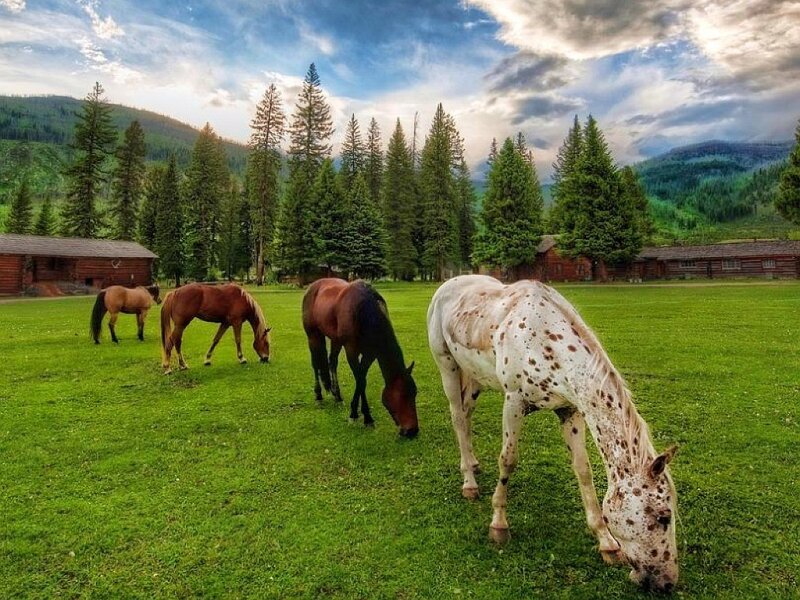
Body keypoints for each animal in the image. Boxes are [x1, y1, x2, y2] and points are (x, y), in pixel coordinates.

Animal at [302, 278, 419, 438]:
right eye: (402, 395)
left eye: (415, 393)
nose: (412, 430)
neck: (363, 312)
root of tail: (313, 286)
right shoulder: (351, 351)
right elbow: (361, 381)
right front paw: (360, 417)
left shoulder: (370, 354)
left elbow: (361, 379)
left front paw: (361, 415)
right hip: (312, 335)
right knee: (315, 364)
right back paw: (318, 396)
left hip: (335, 340)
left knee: (332, 362)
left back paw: (337, 396)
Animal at [427, 275, 678, 592]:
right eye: (663, 516)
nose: (668, 582)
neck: (546, 341)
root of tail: (449, 283)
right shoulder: (514, 402)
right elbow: (508, 460)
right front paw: (499, 525)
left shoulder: (570, 411)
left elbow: (583, 470)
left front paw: (607, 543)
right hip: (447, 365)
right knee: (459, 418)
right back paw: (469, 483)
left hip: (475, 377)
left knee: (467, 414)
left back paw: (472, 464)